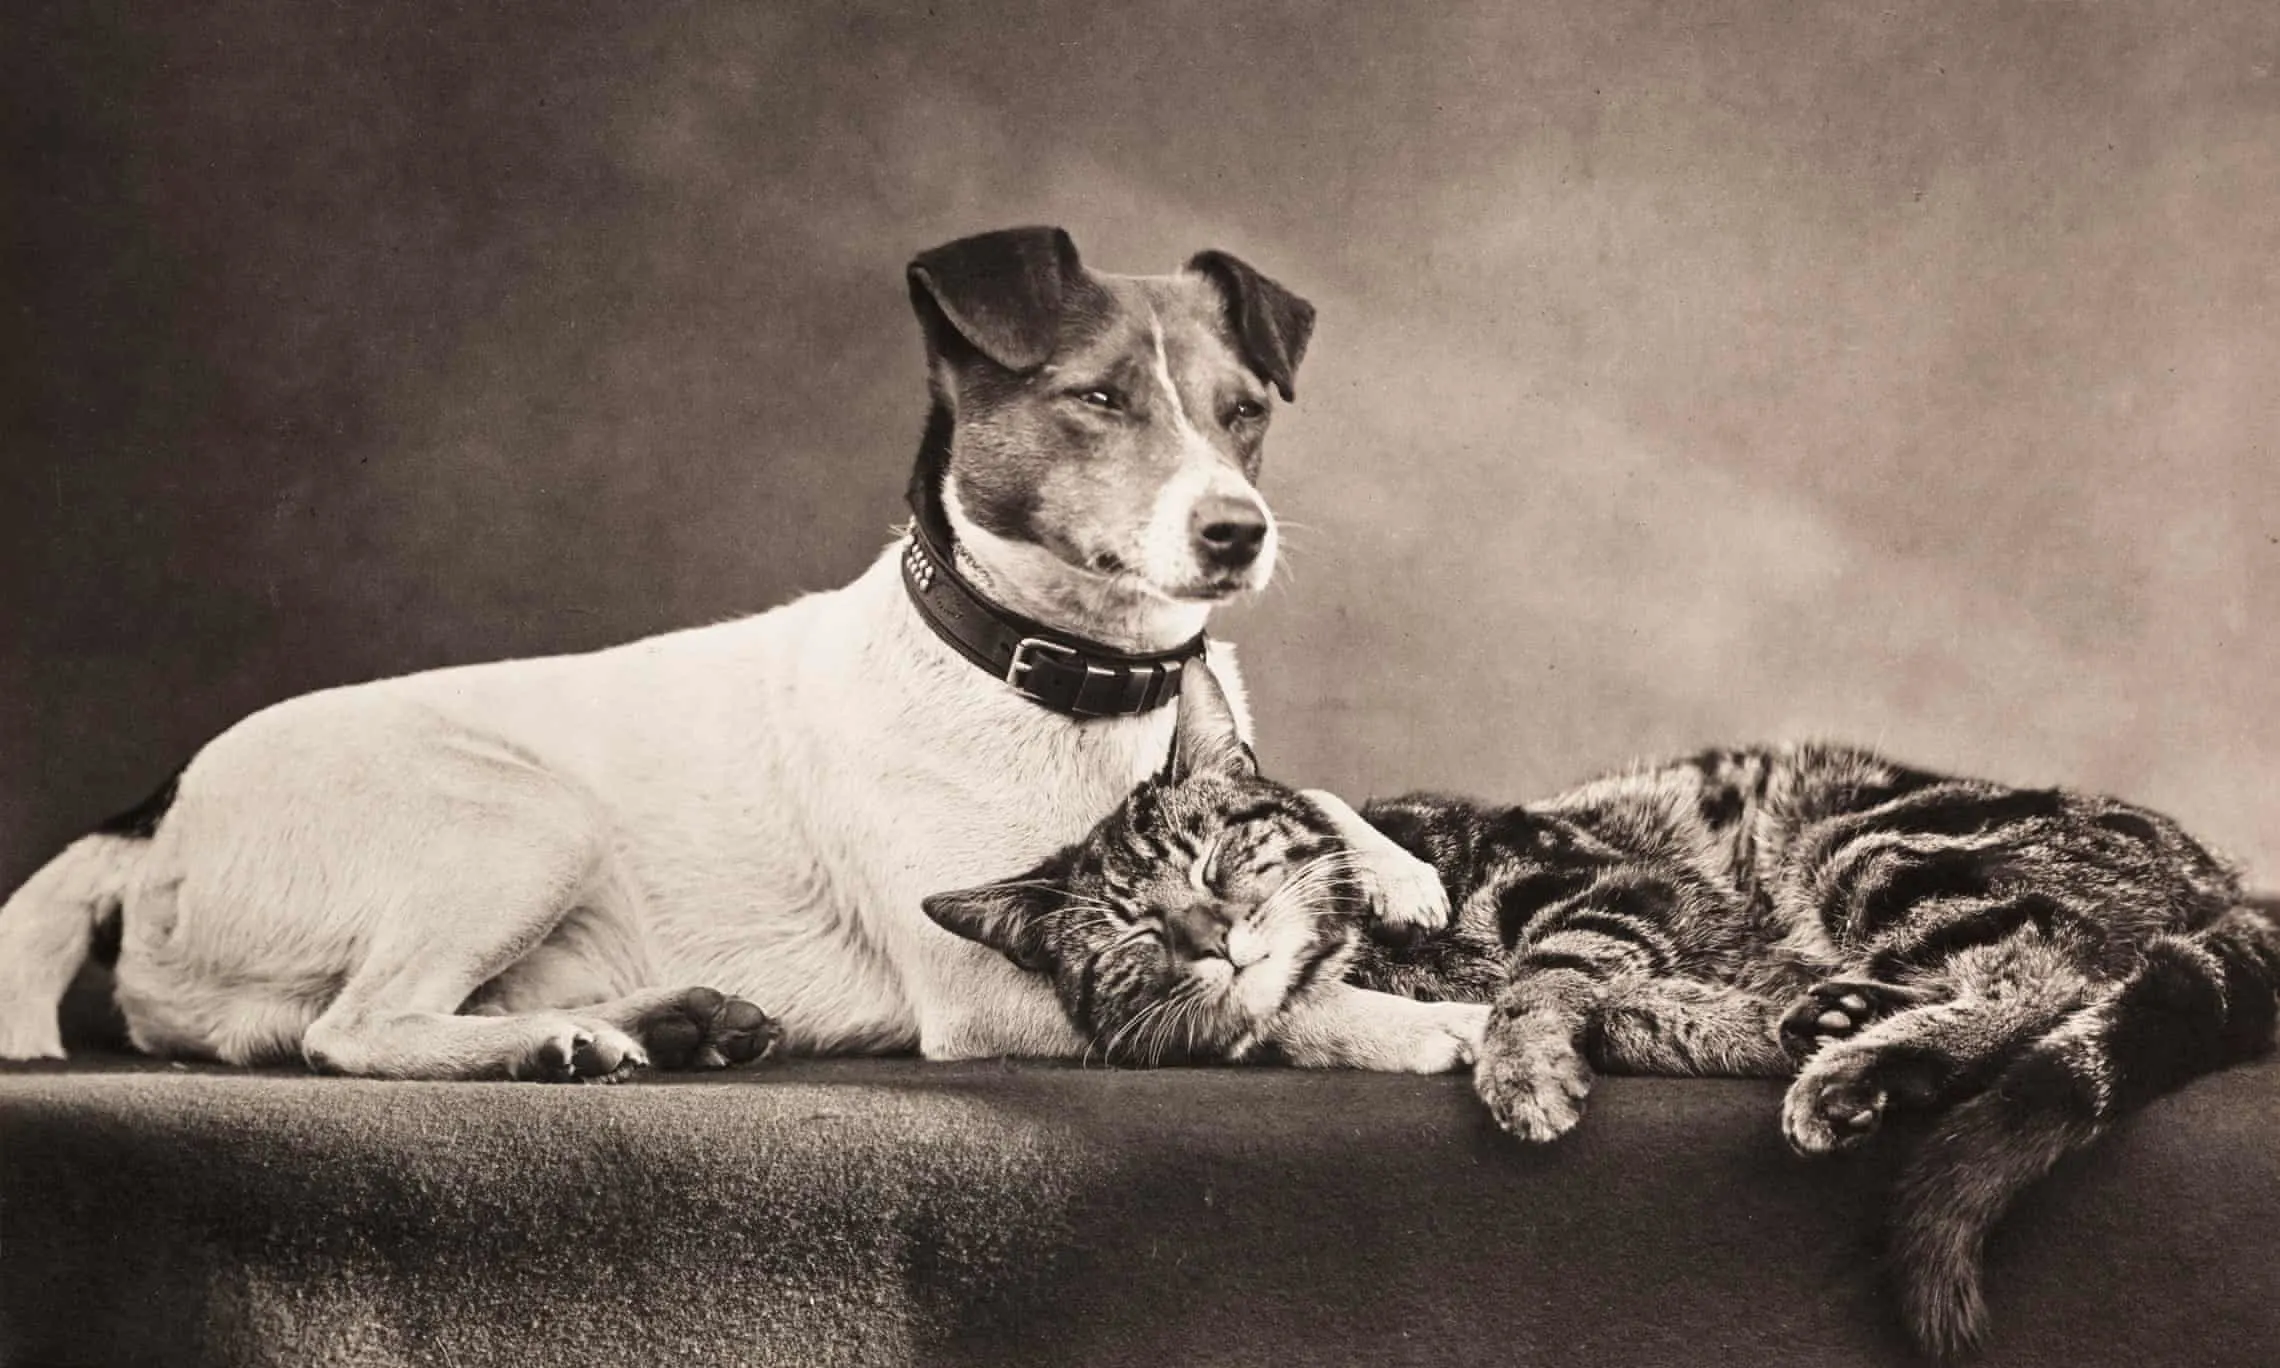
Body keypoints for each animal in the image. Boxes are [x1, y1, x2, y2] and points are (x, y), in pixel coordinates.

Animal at [0, 224, 1477, 1080]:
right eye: (1099, 398)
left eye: (1244, 412)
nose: (1237, 532)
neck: (1073, 679)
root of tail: (160, 815)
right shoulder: (995, 992)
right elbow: (1260, 1006)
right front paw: (1424, 1023)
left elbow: (1306, 808)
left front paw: (1393, 868)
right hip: (520, 816)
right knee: (348, 1032)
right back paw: (568, 1042)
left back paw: (673, 1021)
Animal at [925, 656, 2280, 1349]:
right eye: (1134, 931)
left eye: (1215, 859)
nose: (1212, 937)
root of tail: (2224, 871)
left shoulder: (1598, 881)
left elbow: (1543, 969)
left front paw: (1520, 1062)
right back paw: (1840, 1030)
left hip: (1875, 840)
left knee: (2049, 970)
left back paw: (1863, 1061)